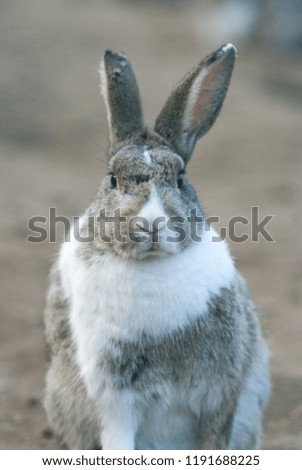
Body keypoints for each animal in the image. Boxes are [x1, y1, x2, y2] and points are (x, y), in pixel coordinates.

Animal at [43, 45, 272, 452]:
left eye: (180, 179)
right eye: (113, 179)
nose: (150, 224)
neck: (151, 266)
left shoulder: (221, 392)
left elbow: (216, 439)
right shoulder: (115, 394)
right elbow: (119, 441)